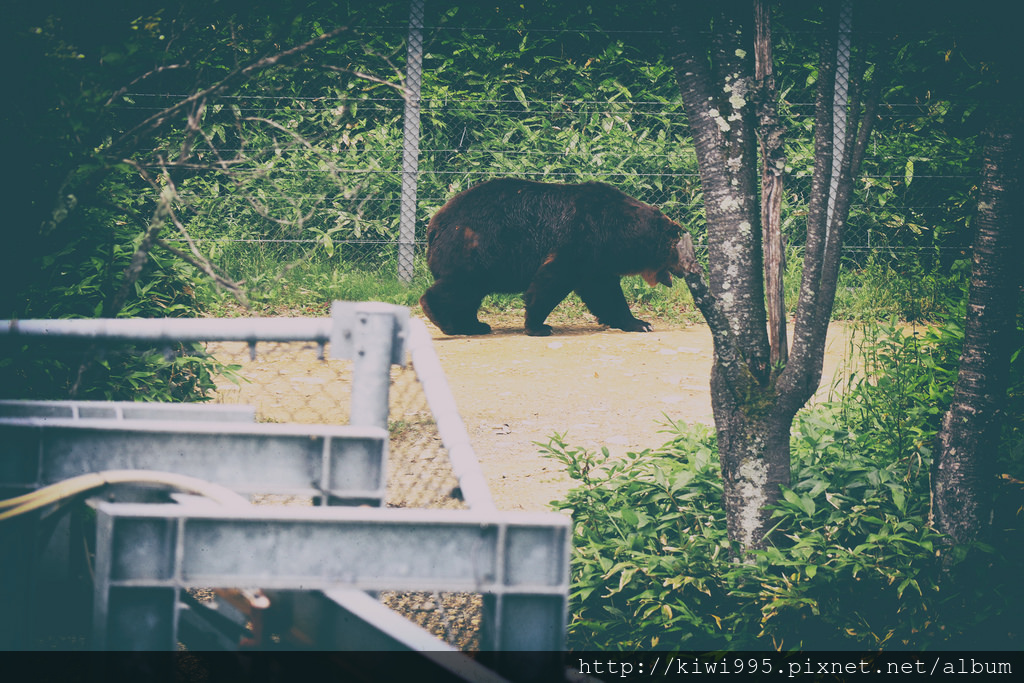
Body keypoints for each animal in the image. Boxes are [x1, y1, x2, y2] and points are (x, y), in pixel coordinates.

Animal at [419, 178, 692, 335]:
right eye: (675, 249)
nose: (686, 269)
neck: (619, 232)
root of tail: (434, 224)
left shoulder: (598, 260)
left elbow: (606, 293)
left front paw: (639, 322)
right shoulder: (581, 239)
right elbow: (552, 280)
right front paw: (538, 325)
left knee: (470, 293)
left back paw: (474, 325)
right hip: (479, 247)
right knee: (462, 285)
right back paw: (445, 320)